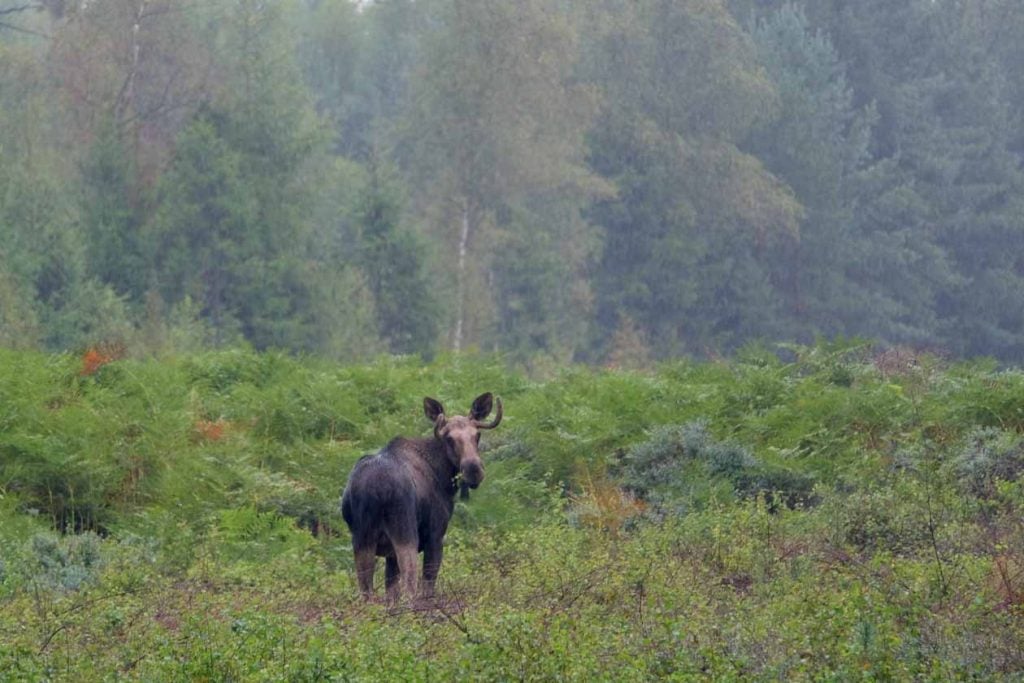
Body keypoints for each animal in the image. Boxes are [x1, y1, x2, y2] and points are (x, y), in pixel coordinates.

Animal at [342, 393, 501, 602]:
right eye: (449, 439)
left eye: (477, 435)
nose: (473, 470)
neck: (443, 476)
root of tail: (374, 489)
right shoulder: (435, 535)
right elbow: (428, 587)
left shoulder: (389, 554)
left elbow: (391, 594)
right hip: (405, 533)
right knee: (410, 587)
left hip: (362, 540)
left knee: (366, 592)